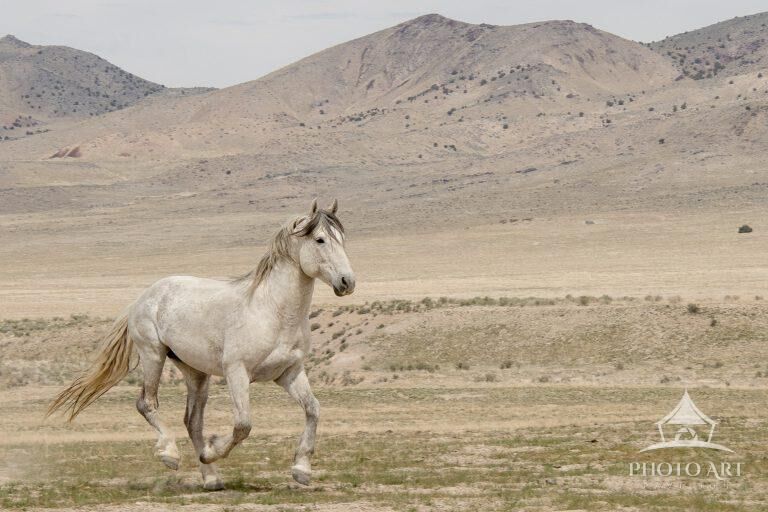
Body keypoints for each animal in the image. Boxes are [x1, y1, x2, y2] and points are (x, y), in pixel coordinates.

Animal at [47, 199, 355, 490]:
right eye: (320, 240)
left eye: (342, 237)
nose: (347, 282)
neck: (273, 311)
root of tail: (145, 295)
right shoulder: (237, 372)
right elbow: (243, 424)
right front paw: (212, 449)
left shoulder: (289, 373)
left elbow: (313, 409)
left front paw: (302, 470)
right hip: (153, 355)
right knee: (147, 403)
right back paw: (171, 455)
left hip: (195, 372)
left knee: (192, 421)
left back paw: (211, 478)